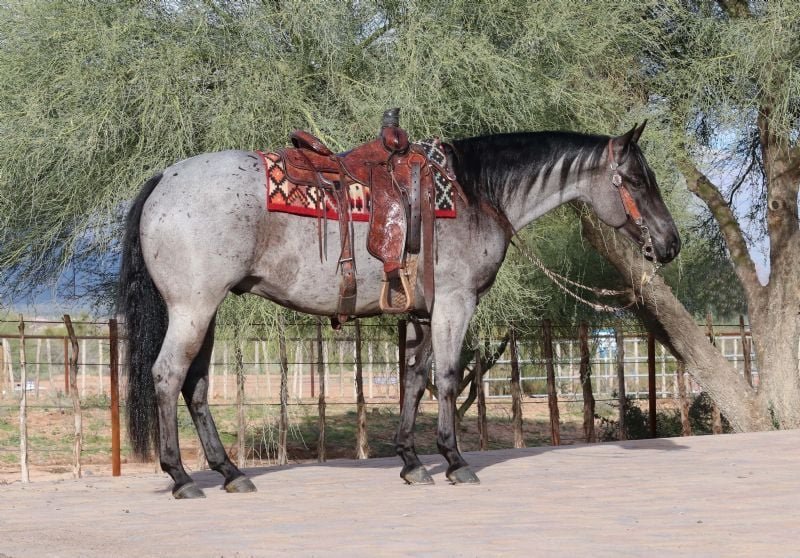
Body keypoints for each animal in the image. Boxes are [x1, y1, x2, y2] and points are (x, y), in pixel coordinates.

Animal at [118, 121, 680, 498]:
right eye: (636, 180)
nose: (670, 244)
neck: (476, 193)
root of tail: (165, 178)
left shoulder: (425, 312)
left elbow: (415, 378)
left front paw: (412, 461)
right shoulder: (456, 302)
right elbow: (448, 378)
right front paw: (454, 460)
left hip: (206, 312)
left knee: (195, 387)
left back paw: (230, 473)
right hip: (192, 308)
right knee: (168, 376)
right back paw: (182, 477)